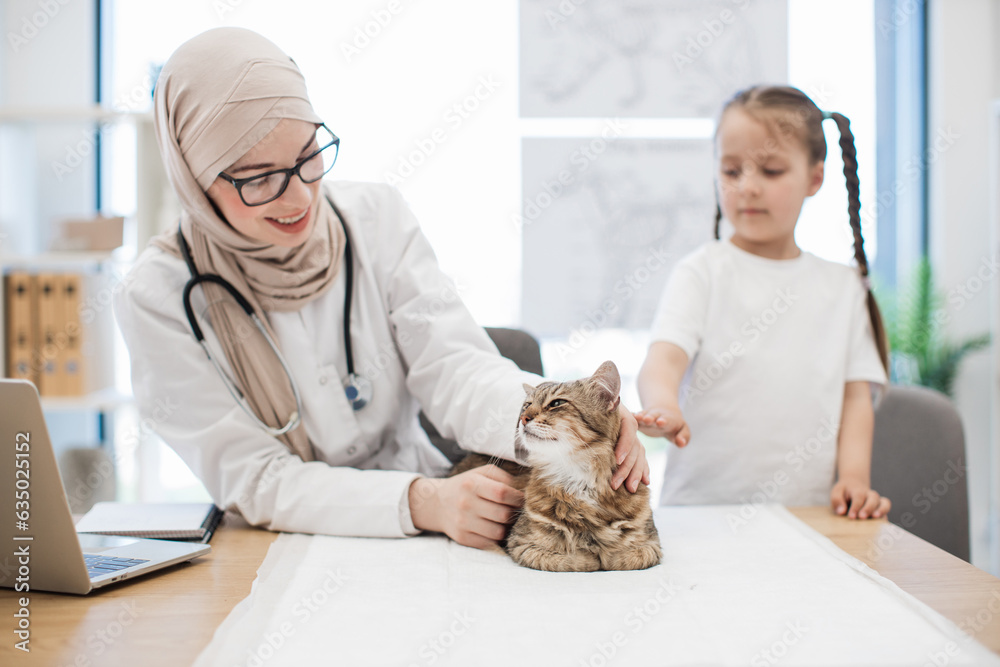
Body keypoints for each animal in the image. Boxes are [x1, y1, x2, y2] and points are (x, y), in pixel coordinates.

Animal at [450, 362, 660, 572]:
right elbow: (574, 561)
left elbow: (625, 558)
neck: (577, 478)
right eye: (527, 405)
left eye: (556, 403)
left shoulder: (650, 545)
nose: (523, 418)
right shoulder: (523, 544)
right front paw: (590, 556)